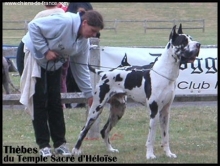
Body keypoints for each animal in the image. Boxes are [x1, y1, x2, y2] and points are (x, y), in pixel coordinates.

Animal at [71, 24, 200, 160]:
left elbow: (166, 137)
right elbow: (151, 137)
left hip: (118, 111)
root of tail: (105, 73)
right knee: (83, 130)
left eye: (191, 39)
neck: (165, 73)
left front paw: (168, 154)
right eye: (184, 41)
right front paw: (150, 155)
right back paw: (76, 151)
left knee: (104, 131)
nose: (198, 45)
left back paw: (110, 149)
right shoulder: (154, 111)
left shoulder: (165, 112)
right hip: (96, 109)